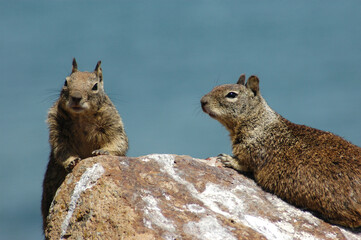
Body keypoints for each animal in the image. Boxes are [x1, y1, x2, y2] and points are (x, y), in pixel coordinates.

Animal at [42, 57, 128, 231]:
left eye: (95, 86)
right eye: (66, 82)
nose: (76, 97)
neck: (81, 117)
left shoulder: (113, 123)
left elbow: (119, 141)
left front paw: (103, 152)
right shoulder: (56, 128)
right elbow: (61, 150)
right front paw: (72, 161)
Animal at [200, 74, 360, 228]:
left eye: (231, 94)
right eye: (215, 87)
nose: (202, 101)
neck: (258, 121)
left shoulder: (254, 152)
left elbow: (244, 164)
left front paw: (227, 159)